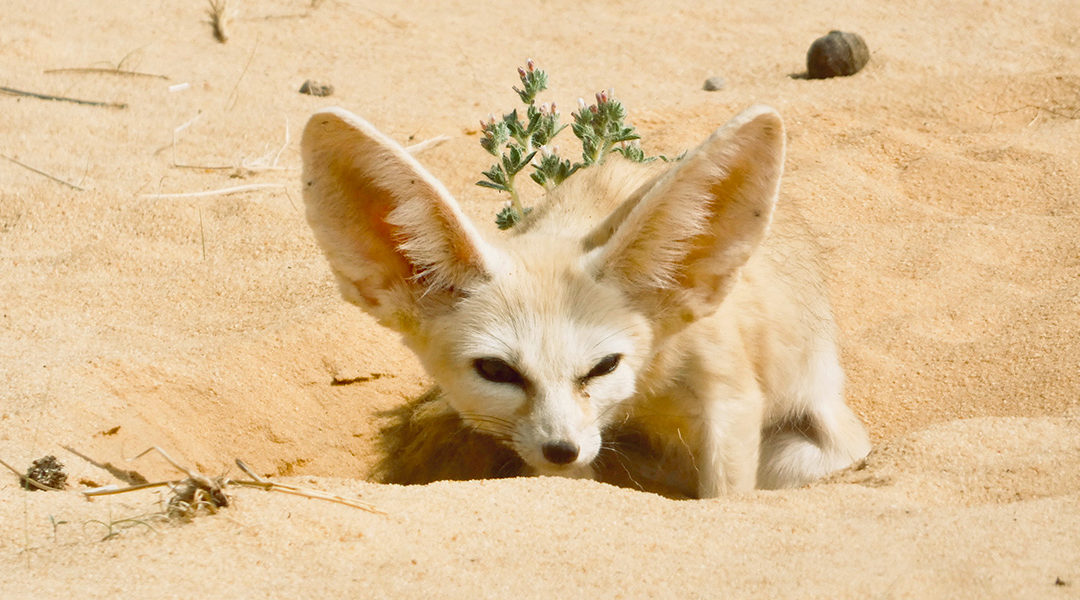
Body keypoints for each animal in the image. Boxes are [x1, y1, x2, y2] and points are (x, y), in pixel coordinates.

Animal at [302, 104, 868, 496]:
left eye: (604, 366)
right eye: (496, 371)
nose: (561, 449)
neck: (650, 387)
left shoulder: (730, 394)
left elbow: (723, 495)